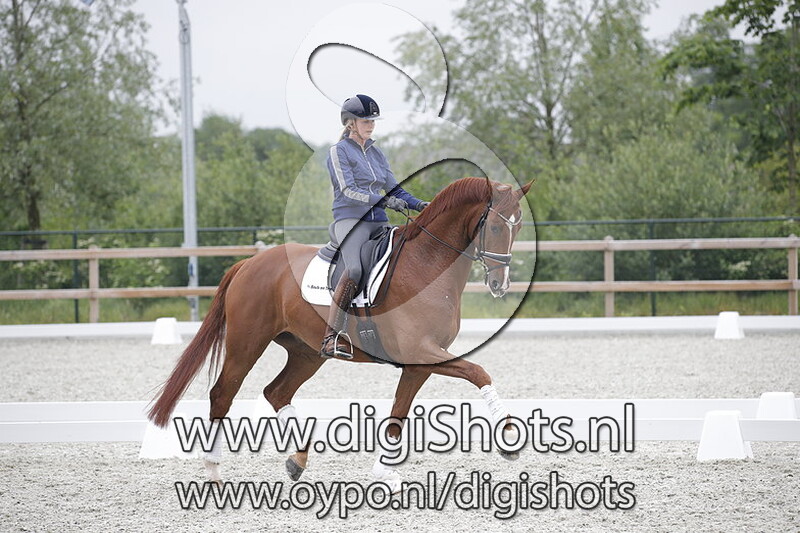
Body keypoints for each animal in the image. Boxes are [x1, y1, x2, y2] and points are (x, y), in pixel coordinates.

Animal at [147, 176, 533, 490]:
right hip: (247, 342)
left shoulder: (419, 362)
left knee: (277, 392)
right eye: (495, 227)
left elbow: (398, 415)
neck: (428, 264)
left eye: (518, 228)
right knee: (223, 394)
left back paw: (296, 461)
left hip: (306, 352)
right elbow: (478, 372)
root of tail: (249, 263)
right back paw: (214, 471)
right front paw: (509, 439)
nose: (500, 285)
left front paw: (384, 473)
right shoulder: (422, 351)